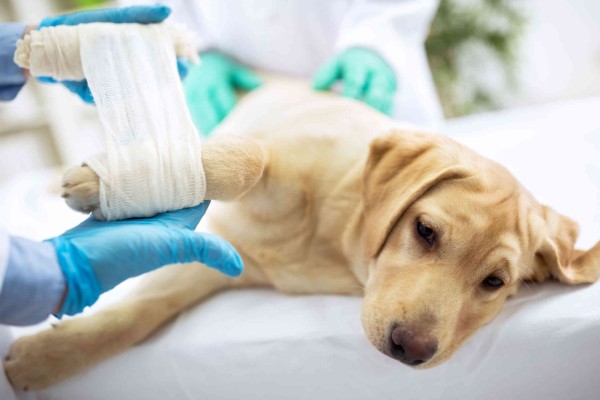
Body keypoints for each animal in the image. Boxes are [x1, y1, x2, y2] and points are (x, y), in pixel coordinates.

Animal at [4, 81, 600, 390]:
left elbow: (140, 314)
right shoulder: (273, 150)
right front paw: (112, 183)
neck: (337, 239)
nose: (410, 350)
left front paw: (45, 358)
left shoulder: (220, 263)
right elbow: (247, 157)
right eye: (425, 231)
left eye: (495, 283)